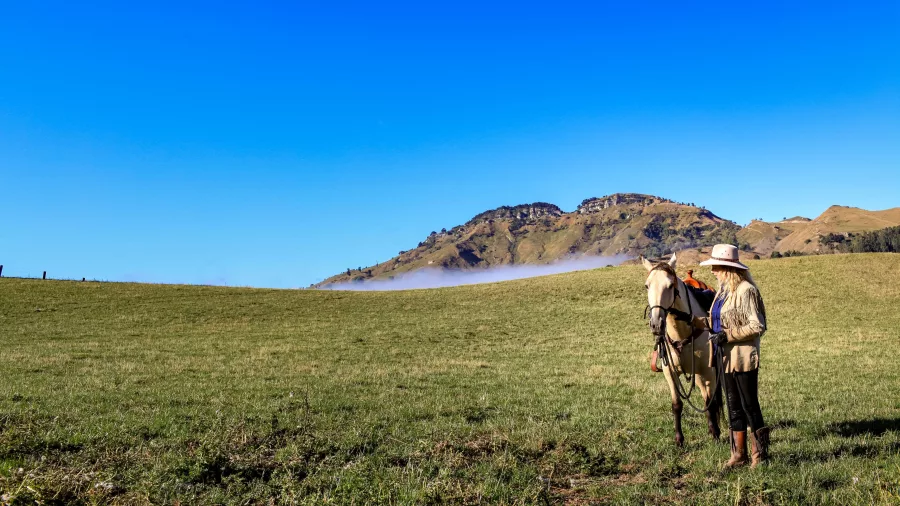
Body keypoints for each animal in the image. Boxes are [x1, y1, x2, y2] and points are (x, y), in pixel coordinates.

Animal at [642, 253, 722, 447]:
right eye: (647, 285)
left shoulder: (708, 371)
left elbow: (710, 402)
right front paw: (679, 439)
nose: (656, 324)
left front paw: (716, 434)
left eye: (670, 285)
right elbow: (677, 405)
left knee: (711, 399)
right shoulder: (669, 372)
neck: (681, 332)